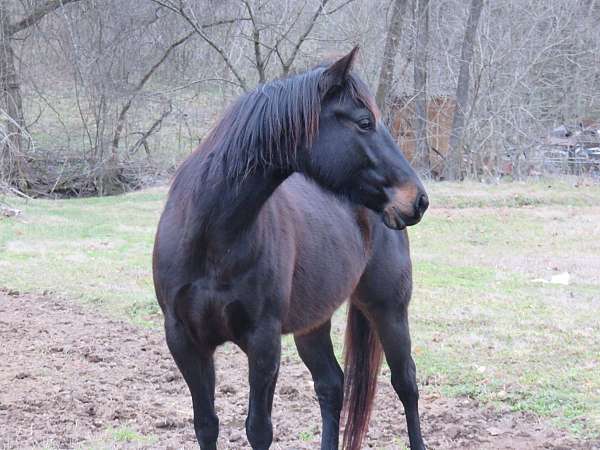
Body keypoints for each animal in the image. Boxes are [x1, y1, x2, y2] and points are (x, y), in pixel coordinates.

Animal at [152, 47, 428, 448]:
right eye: (364, 122)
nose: (418, 199)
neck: (212, 238)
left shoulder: (264, 342)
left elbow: (258, 429)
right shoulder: (185, 340)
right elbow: (205, 424)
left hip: (389, 309)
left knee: (405, 383)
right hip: (313, 322)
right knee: (331, 385)